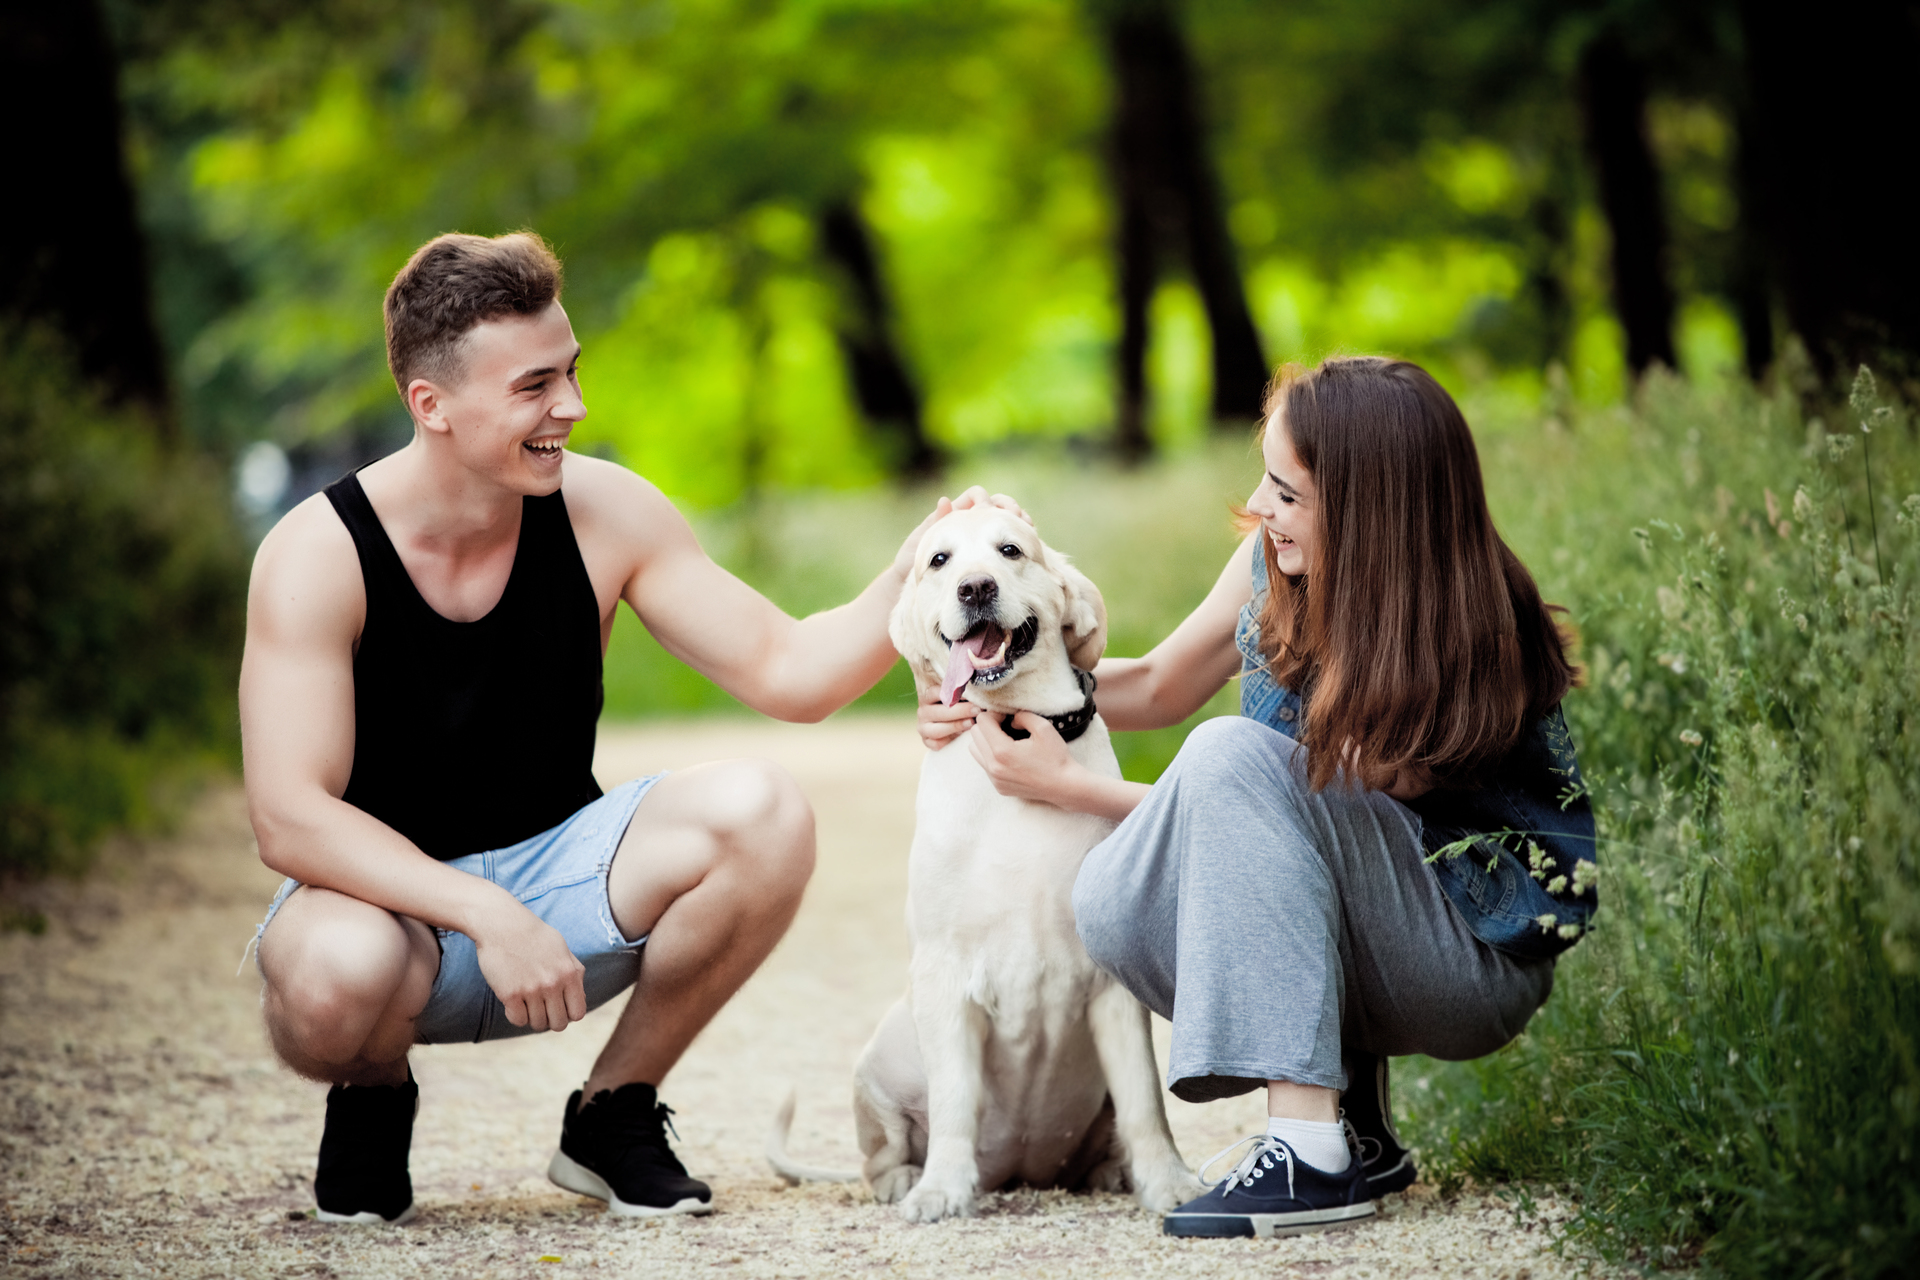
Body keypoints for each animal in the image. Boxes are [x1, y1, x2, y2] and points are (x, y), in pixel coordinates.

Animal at [768, 502, 1190, 1220]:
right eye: (939, 560)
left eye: (1010, 550)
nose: (975, 588)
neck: (1013, 727)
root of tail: (1020, 1169)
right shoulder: (944, 976)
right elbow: (955, 1099)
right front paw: (941, 1189)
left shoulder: (1112, 989)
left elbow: (1145, 1103)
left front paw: (1169, 1183)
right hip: (877, 1063)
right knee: (881, 1152)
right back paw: (908, 1179)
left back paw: (1112, 1172)